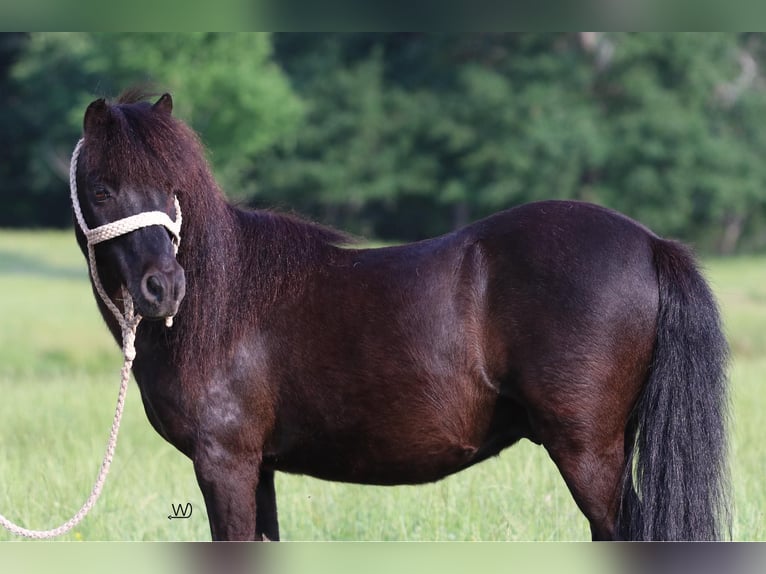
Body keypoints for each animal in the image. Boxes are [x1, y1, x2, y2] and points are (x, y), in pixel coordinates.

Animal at [72, 92, 732, 544]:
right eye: (102, 190)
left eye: (171, 186)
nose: (164, 288)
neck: (225, 303)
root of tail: (650, 243)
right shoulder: (258, 470)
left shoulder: (225, 464)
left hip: (589, 452)